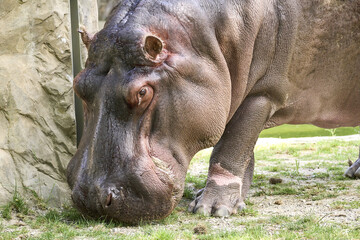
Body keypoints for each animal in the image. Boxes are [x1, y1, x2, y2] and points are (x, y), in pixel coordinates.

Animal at [67, 0, 360, 223]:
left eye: (143, 92)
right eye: (77, 83)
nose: (91, 198)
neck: (200, 43)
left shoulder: (263, 93)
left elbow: (231, 148)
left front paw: (212, 208)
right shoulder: (232, 93)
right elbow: (244, 153)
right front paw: (232, 199)